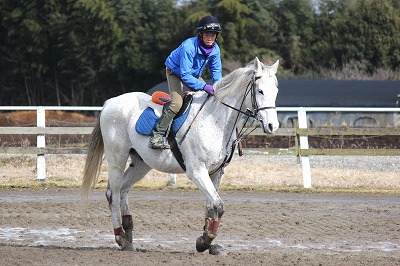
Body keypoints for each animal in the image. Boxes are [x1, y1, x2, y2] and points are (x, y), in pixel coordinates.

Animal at [82, 57, 280, 255]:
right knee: (113, 194)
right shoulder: (197, 171)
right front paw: (205, 241)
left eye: (276, 91)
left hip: (140, 164)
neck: (215, 120)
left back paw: (128, 237)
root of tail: (110, 102)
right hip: (117, 159)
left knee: (123, 190)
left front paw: (208, 242)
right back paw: (120, 237)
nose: (272, 126)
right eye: (260, 91)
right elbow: (218, 205)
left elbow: (211, 206)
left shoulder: (217, 172)